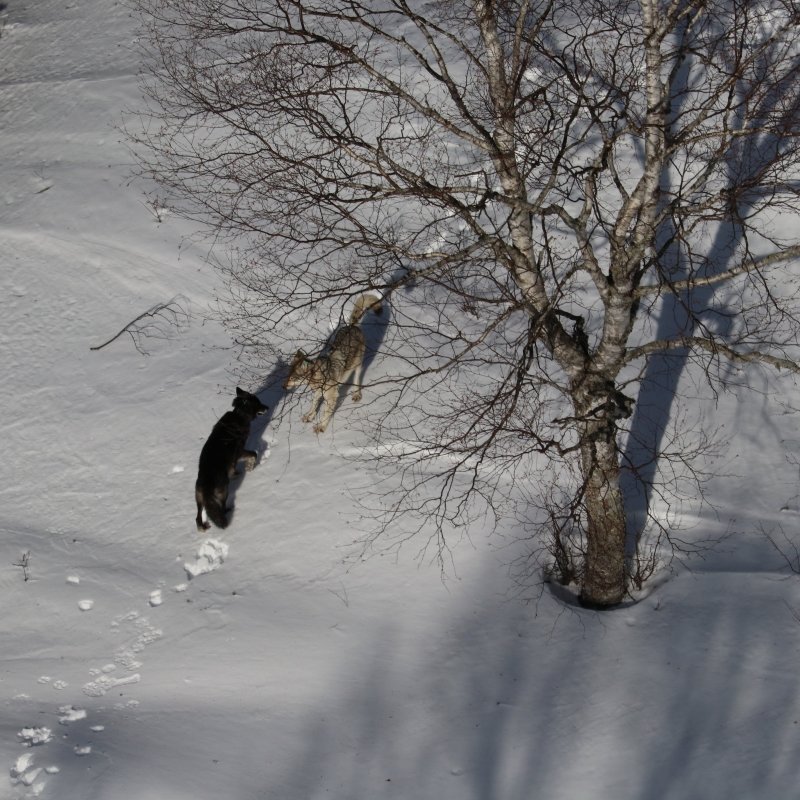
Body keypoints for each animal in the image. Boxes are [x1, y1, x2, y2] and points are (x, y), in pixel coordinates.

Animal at [196, 388, 268, 532]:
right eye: (259, 403)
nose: (267, 407)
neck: (239, 415)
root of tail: (206, 485)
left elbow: (234, 467)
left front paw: (237, 473)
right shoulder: (239, 452)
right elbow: (253, 454)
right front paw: (249, 467)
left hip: (199, 499)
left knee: (197, 517)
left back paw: (203, 527)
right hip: (223, 491)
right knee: (221, 507)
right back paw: (227, 512)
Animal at [284, 292, 384, 434]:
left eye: (292, 378)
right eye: (288, 376)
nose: (283, 387)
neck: (318, 376)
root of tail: (351, 326)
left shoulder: (331, 397)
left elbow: (326, 413)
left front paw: (321, 427)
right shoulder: (318, 393)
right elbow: (314, 404)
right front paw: (309, 416)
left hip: (357, 365)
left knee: (357, 380)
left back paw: (356, 394)